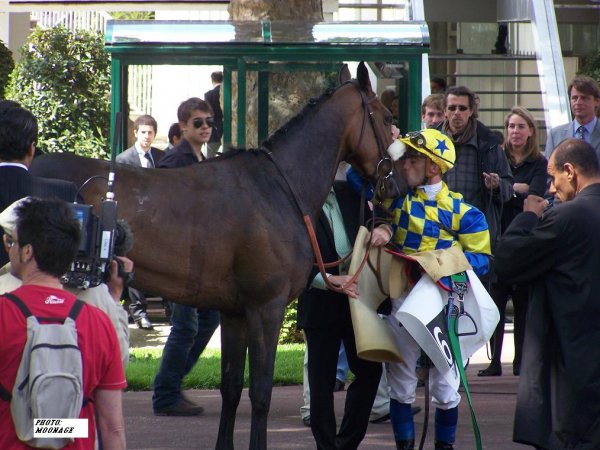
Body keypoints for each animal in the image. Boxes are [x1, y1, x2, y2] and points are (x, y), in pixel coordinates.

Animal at [31, 63, 398, 450]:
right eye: (387, 116)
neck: (279, 188)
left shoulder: (234, 312)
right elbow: (261, 392)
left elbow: (232, 387)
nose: (396, 182)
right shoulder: (266, 307)